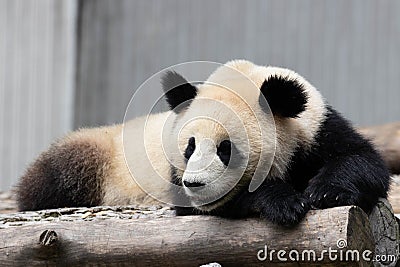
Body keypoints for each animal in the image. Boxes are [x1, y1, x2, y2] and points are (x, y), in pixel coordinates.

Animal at [16, 60, 390, 226]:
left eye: (226, 149)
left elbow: (363, 161)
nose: (195, 184)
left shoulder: (318, 127)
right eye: (189, 147)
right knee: (50, 181)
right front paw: (283, 201)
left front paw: (327, 192)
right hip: (97, 155)